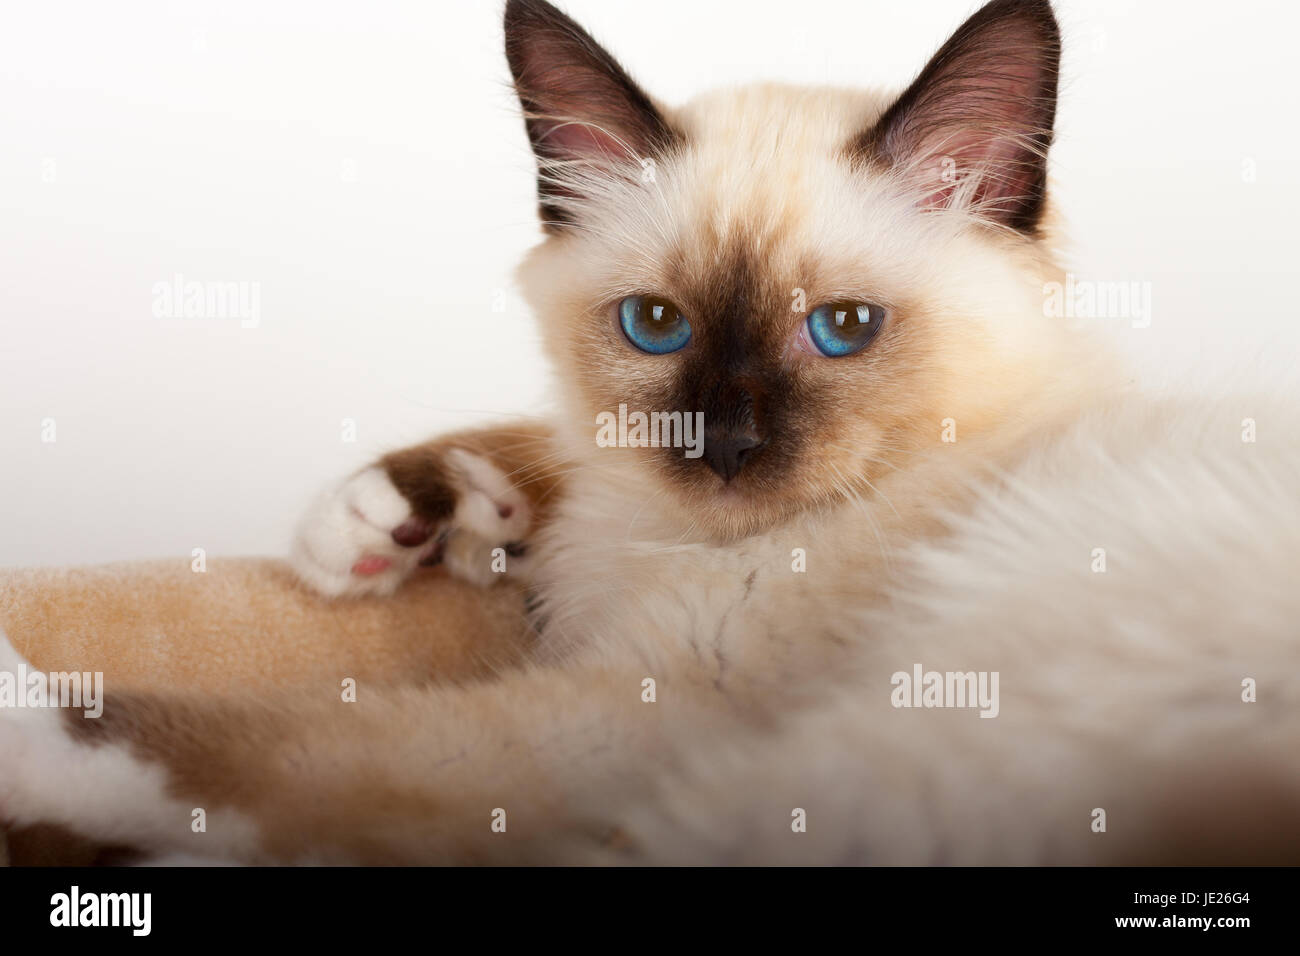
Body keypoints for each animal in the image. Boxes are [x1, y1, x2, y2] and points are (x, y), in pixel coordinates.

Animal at [2, 0, 1300, 868]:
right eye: (655, 323)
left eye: (840, 330)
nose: (722, 445)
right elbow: (553, 448)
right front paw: (386, 521)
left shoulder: (635, 711)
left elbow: (245, 745)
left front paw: (27, 728)